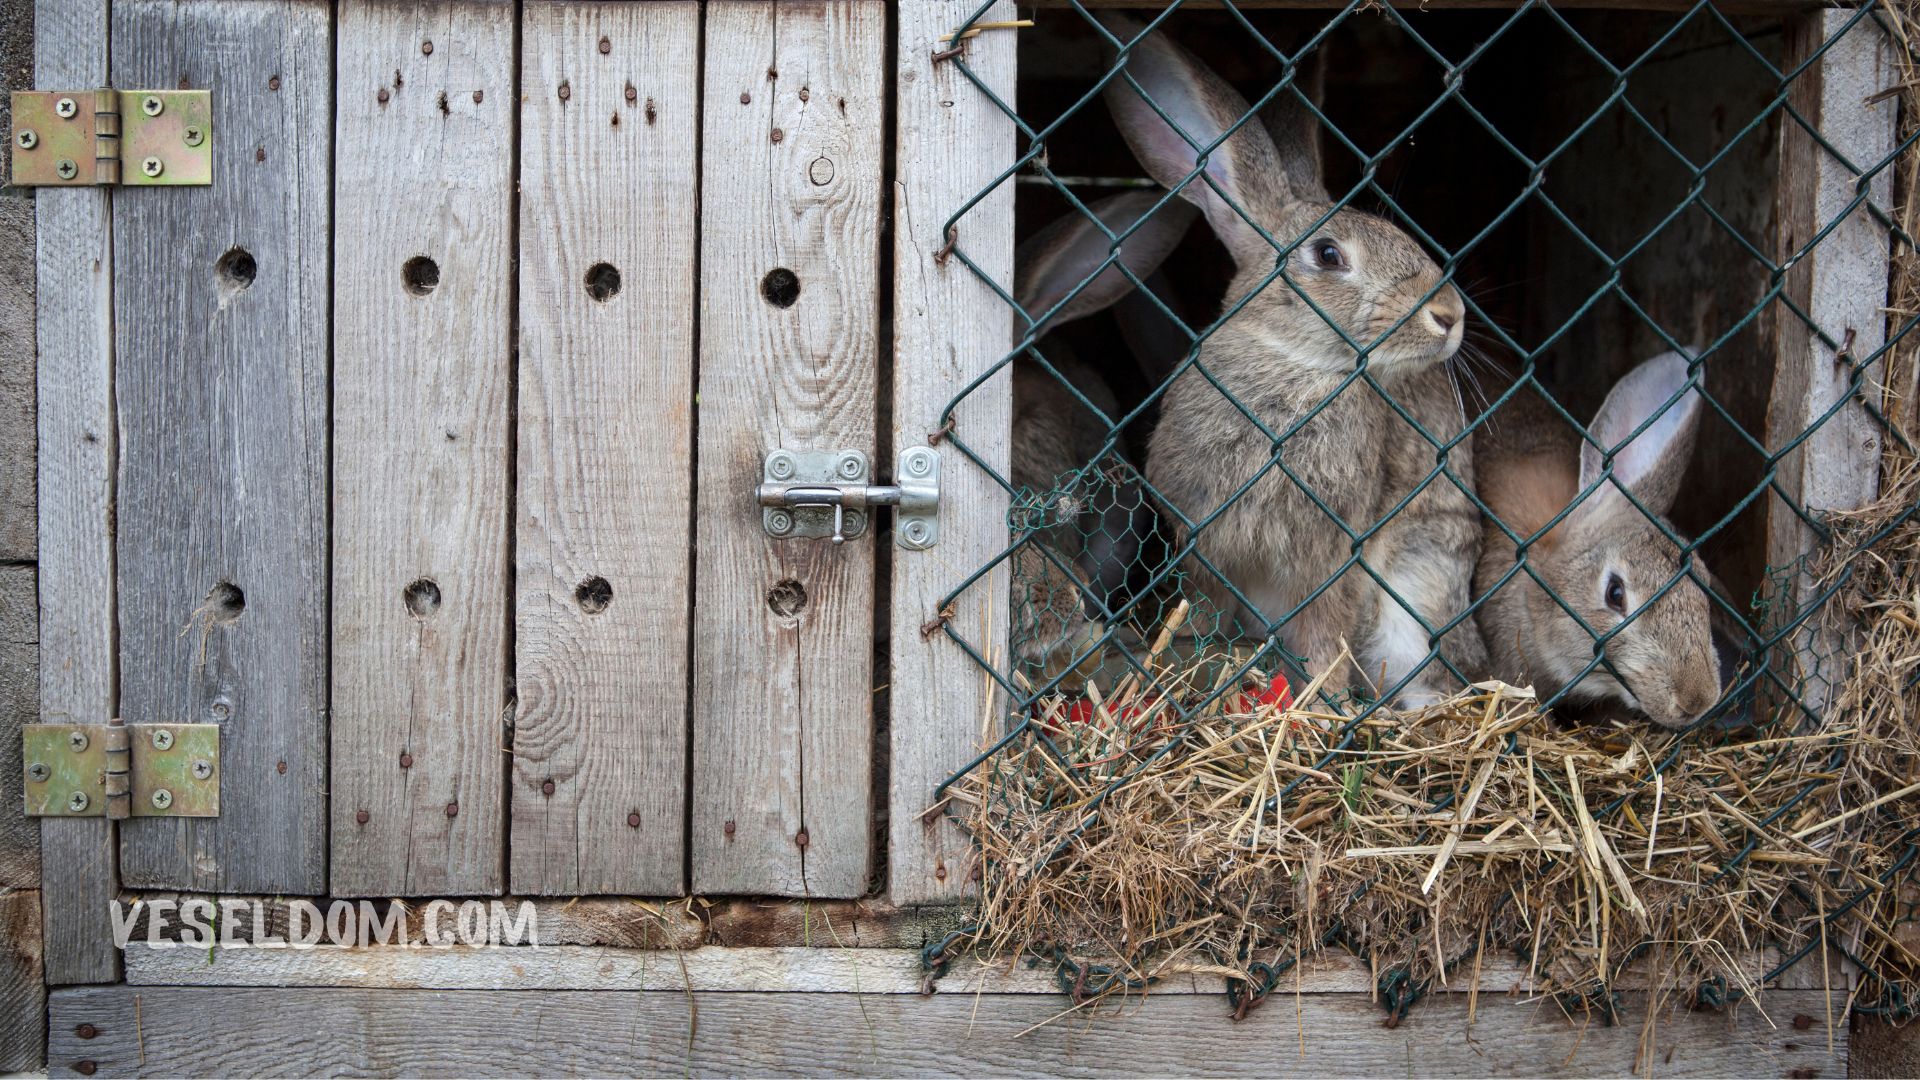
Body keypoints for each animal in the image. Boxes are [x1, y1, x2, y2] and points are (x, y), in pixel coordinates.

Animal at [1101, 15, 1484, 704]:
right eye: (1328, 255)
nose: (1449, 315)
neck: (1295, 365)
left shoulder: (1335, 556)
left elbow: (1327, 628)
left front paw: (1322, 699)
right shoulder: (1206, 546)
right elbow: (1205, 609)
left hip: (1419, 594)